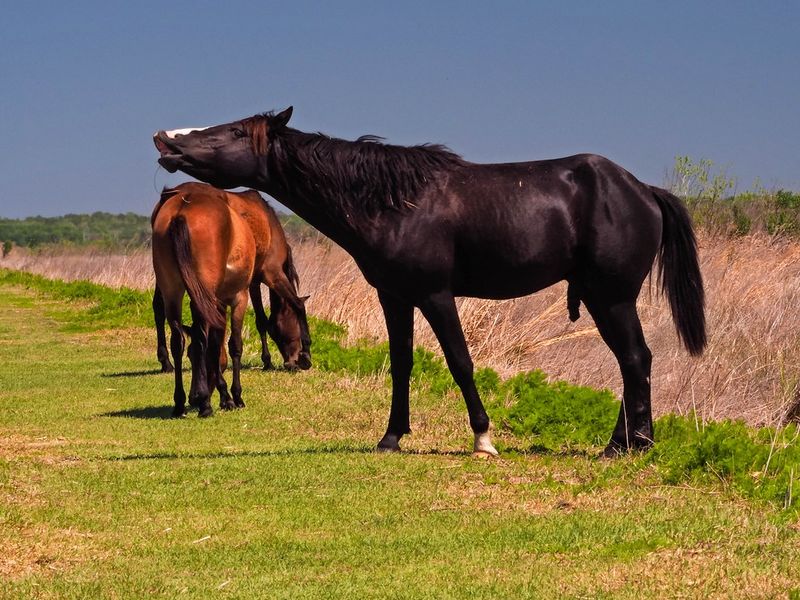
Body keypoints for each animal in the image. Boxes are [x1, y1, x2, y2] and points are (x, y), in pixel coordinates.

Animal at [151, 183, 311, 417]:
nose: (293, 362)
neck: (268, 223)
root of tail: (180, 206)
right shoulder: (270, 274)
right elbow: (293, 307)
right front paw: (303, 354)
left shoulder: (249, 283)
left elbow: (254, 324)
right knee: (201, 338)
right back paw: (203, 400)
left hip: (171, 286)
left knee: (172, 329)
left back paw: (176, 389)